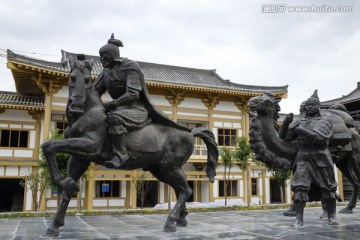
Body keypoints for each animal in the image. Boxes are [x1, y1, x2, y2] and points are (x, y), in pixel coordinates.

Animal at [40, 55, 218, 236]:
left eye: (87, 79)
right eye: (72, 77)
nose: (76, 105)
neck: (85, 115)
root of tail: (190, 132)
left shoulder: (90, 146)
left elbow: (48, 145)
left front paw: (65, 182)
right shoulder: (79, 158)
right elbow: (66, 186)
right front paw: (54, 225)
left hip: (170, 166)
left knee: (186, 190)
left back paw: (170, 222)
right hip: (159, 169)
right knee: (180, 189)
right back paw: (181, 220)